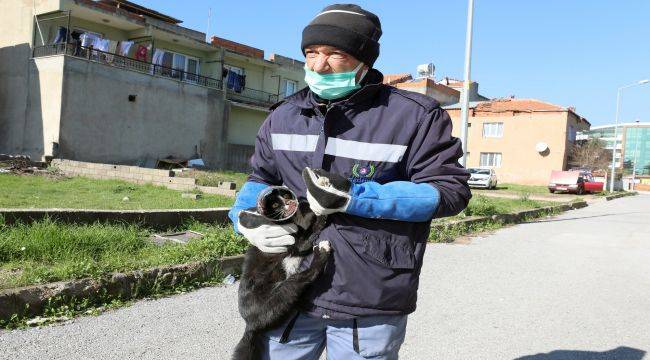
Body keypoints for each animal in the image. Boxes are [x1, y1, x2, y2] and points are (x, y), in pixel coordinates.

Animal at [232, 201, 330, 358]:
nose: (241, 213)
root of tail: (251, 325)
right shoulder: (293, 244)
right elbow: (306, 239)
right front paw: (321, 216)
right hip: (279, 295)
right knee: (307, 276)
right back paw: (322, 252)